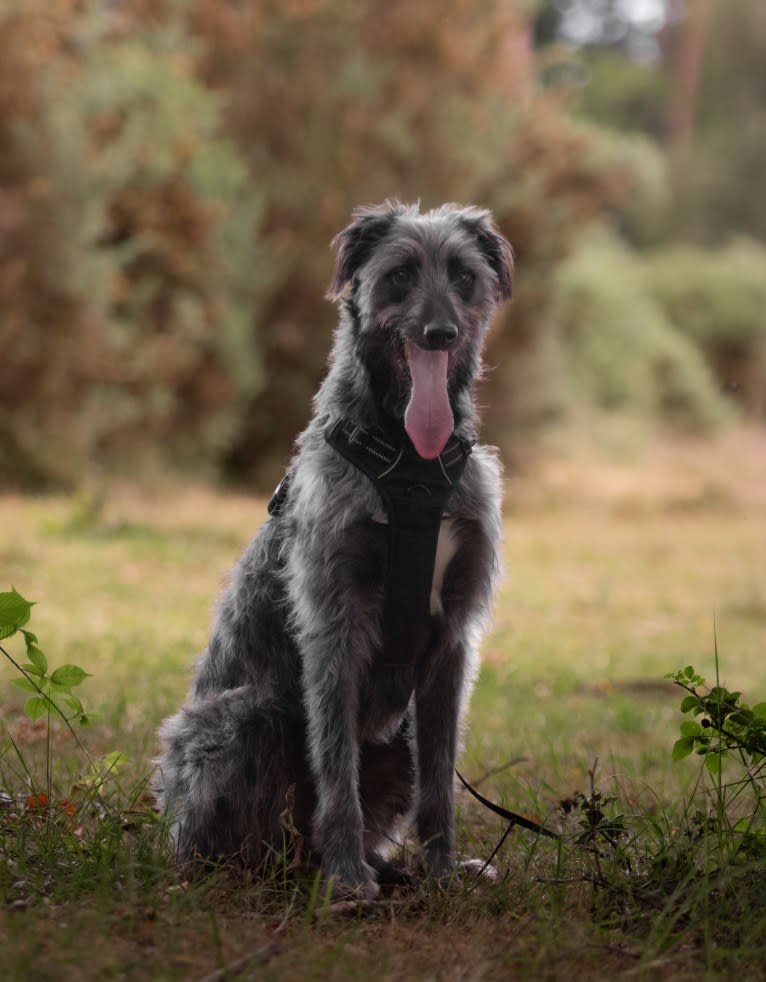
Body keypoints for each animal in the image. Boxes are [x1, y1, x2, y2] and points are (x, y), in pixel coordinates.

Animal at [154, 200, 516, 900]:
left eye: (463, 276)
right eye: (400, 274)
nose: (439, 333)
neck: (410, 464)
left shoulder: (453, 639)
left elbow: (440, 781)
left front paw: (443, 871)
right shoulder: (333, 622)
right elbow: (334, 764)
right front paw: (348, 880)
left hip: (396, 741)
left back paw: (394, 869)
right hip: (243, 718)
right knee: (240, 838)